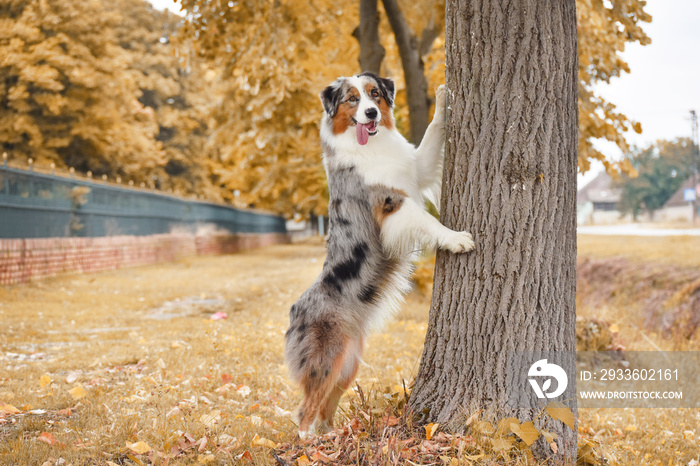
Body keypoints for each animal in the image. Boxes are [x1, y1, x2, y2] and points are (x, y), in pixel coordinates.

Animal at [284, 72, 476, 436]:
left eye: (375, 94)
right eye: (351, 100)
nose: (372, 113)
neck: (371, 146)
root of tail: (294, 311)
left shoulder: (417, 169)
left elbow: (431, 136)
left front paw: (443, 96)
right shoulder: (391, 204)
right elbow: (429, 221)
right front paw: (456, 239)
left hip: (348, 365)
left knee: (326, 405)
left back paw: (333, 437)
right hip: (325, 360)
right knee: (304, 411)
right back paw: (310, 443)